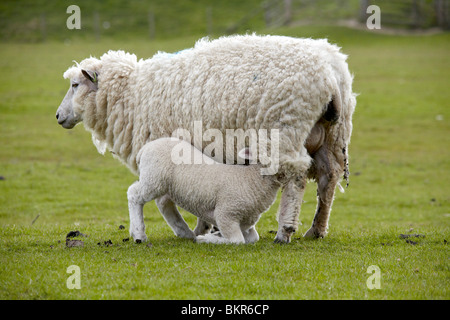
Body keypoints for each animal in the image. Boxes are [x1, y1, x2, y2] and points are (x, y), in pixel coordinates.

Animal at [126, 136, 282, 244]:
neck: (251, 179)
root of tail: (145, 148)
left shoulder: (246, 223)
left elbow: (254, 237)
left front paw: (215, 235)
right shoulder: (225, 214)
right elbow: (237, 240)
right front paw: (206, 238)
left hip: (163, 184)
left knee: (164, 203)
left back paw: (184, 232)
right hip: (153, 179)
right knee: (134, 194)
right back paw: (139, 233)